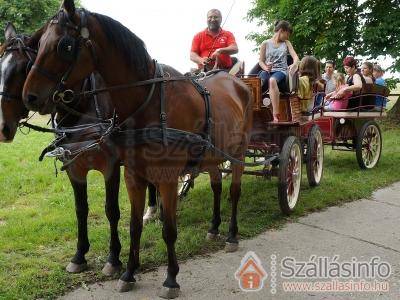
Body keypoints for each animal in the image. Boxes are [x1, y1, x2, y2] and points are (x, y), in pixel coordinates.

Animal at [0, 23, 155, 276]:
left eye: (25, 67)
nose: (3, 128)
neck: (83, 109)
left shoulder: (110, 167)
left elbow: (111, 209)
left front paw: (113, 258)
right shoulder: (74, 167)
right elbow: (81, 209)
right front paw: (79, 255)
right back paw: (152, 210)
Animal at [21, 0, 252, 298]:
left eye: (65, 45)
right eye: (39, 44)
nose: (29, 96)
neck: (149, 102)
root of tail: (235, 81)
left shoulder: (166, 178)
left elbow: (169, 229)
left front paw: (171, 279)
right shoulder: (133, 176)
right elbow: (133, 226)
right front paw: (129, 272)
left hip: (238, 153)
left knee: (234, 192)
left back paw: (232, 235)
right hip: (212, 155)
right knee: (216, 187)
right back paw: (213, 228)